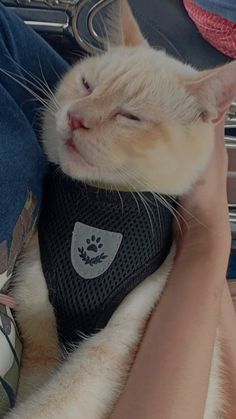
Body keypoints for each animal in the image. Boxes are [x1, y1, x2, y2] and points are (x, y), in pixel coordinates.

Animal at [5, 0, 236, 419]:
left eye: (130, 116)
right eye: (86, 85)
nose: (76, 117)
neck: (100, 205)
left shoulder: (124, 334)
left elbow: (62, 397)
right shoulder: (36, 303)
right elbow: (38, 378)